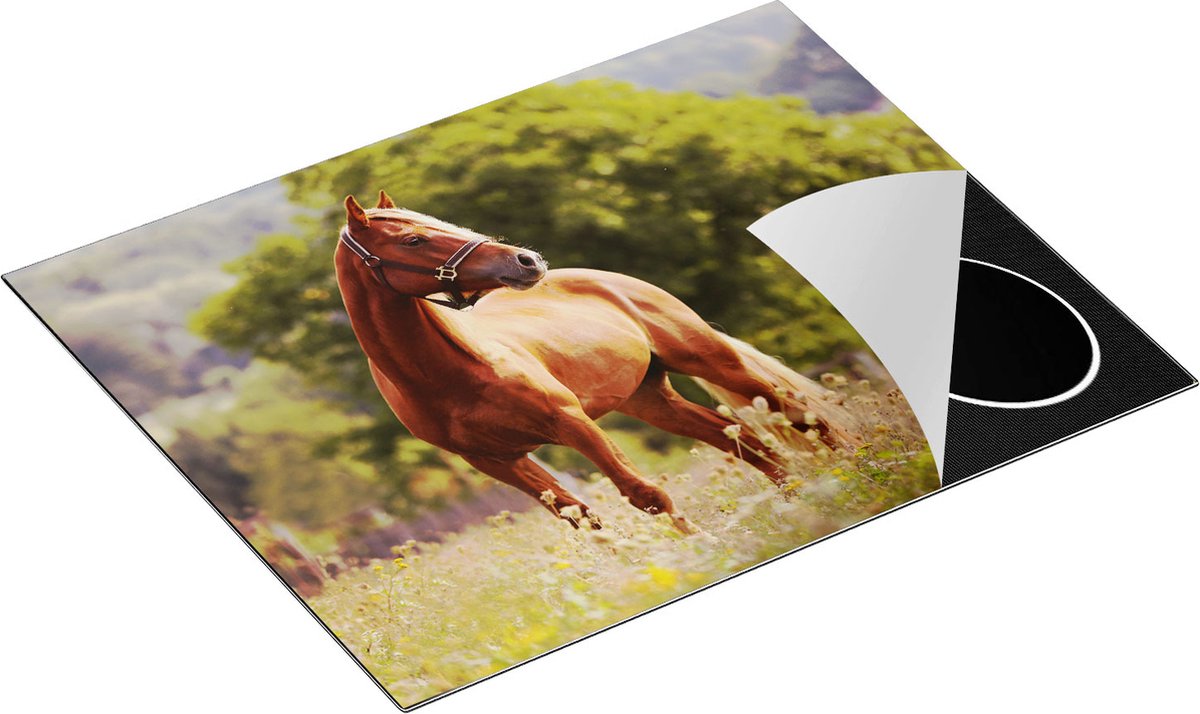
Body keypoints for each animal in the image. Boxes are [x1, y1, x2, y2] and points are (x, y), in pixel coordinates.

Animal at [335, 191, 860, 533]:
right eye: (413, 241)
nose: (526, 261)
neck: (448, 378)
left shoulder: (571, 423)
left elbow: (643, 493)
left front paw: (700, 548)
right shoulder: (498, 462)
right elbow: (581, 519)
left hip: (711, 360)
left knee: (797, 414)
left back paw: (857, 470)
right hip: (649, 398)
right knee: (740, 439)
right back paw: (800, 500)